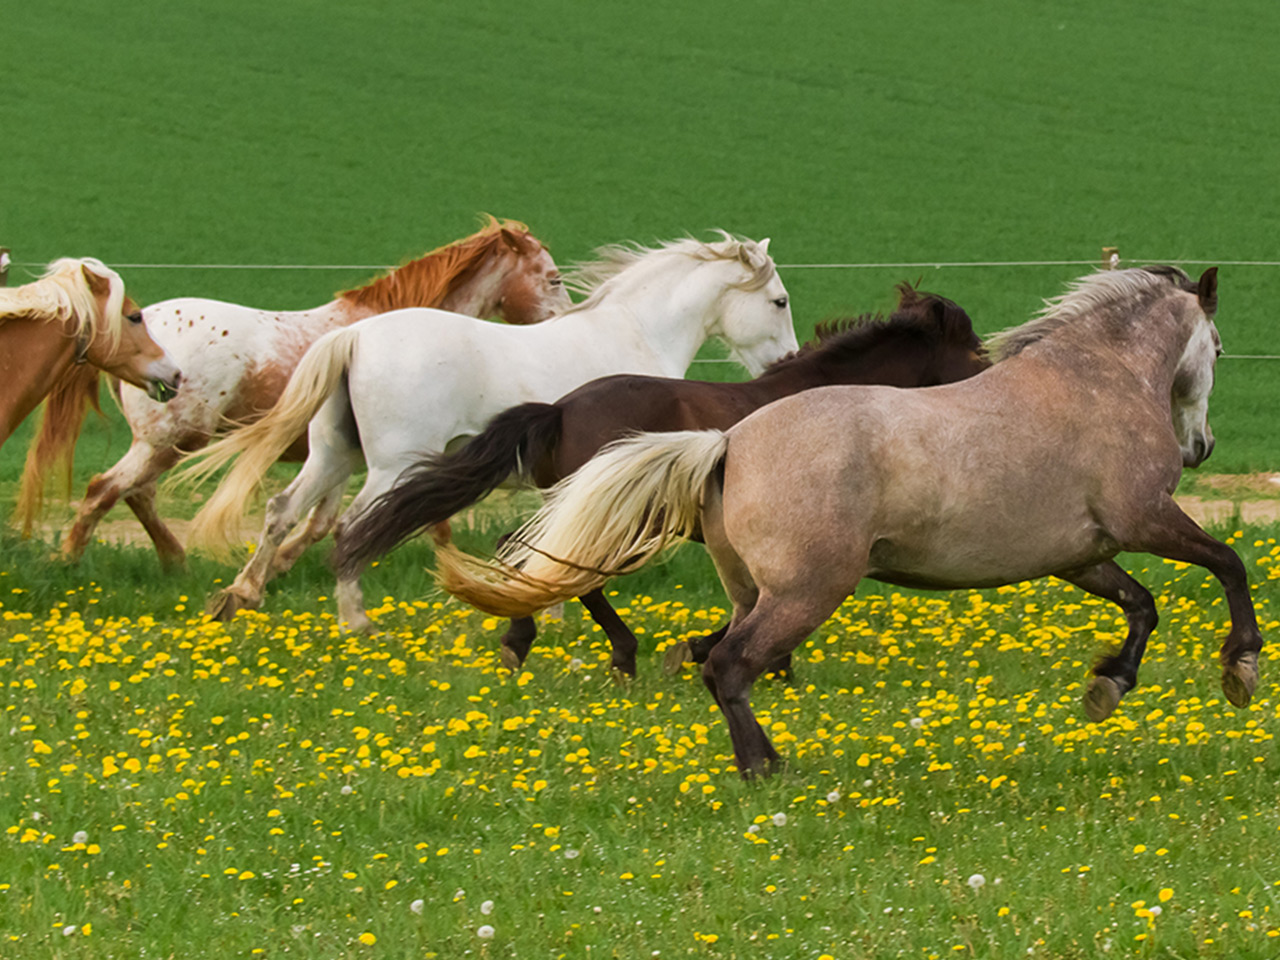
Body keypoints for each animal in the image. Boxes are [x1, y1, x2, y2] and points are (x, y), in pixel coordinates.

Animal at [20, 217, 568, 568]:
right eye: (553, 277)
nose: (566, 323)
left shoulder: (339, 457)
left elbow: (323, 521)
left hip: (164, 444)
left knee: (136, 493)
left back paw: (175, 562)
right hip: (169, 441)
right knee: (105, 490)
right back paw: (69, 562)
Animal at [176, 233, 799, 627]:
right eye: (779, 300)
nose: (788, 360)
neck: (636, 332)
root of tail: (354, 337)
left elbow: (552, 542)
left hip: (334, 456)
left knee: (281, 511)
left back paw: (240, 597)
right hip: (391, 466)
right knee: (351, 526)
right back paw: (355, 619)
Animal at [332, 284, 991, 675]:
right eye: (977, 355)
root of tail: (558, 410)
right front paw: (713, 654)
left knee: (523, 554)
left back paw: (524, 642)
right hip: (616, 520)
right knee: (561, 570)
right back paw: (612, 653)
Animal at [432, 266, 1264, 778]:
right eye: (1219, 347)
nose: (1201, 448)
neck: (1094, 381)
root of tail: (726, 443)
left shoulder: (1080, 553)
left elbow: (1142, 604)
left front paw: (1107, 685)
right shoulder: (1144, 518)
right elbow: (1228, 563)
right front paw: (1240, 668)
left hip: (755, 590)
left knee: (715, 652)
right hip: (810, 589)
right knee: (727, 662)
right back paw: (760, 765)